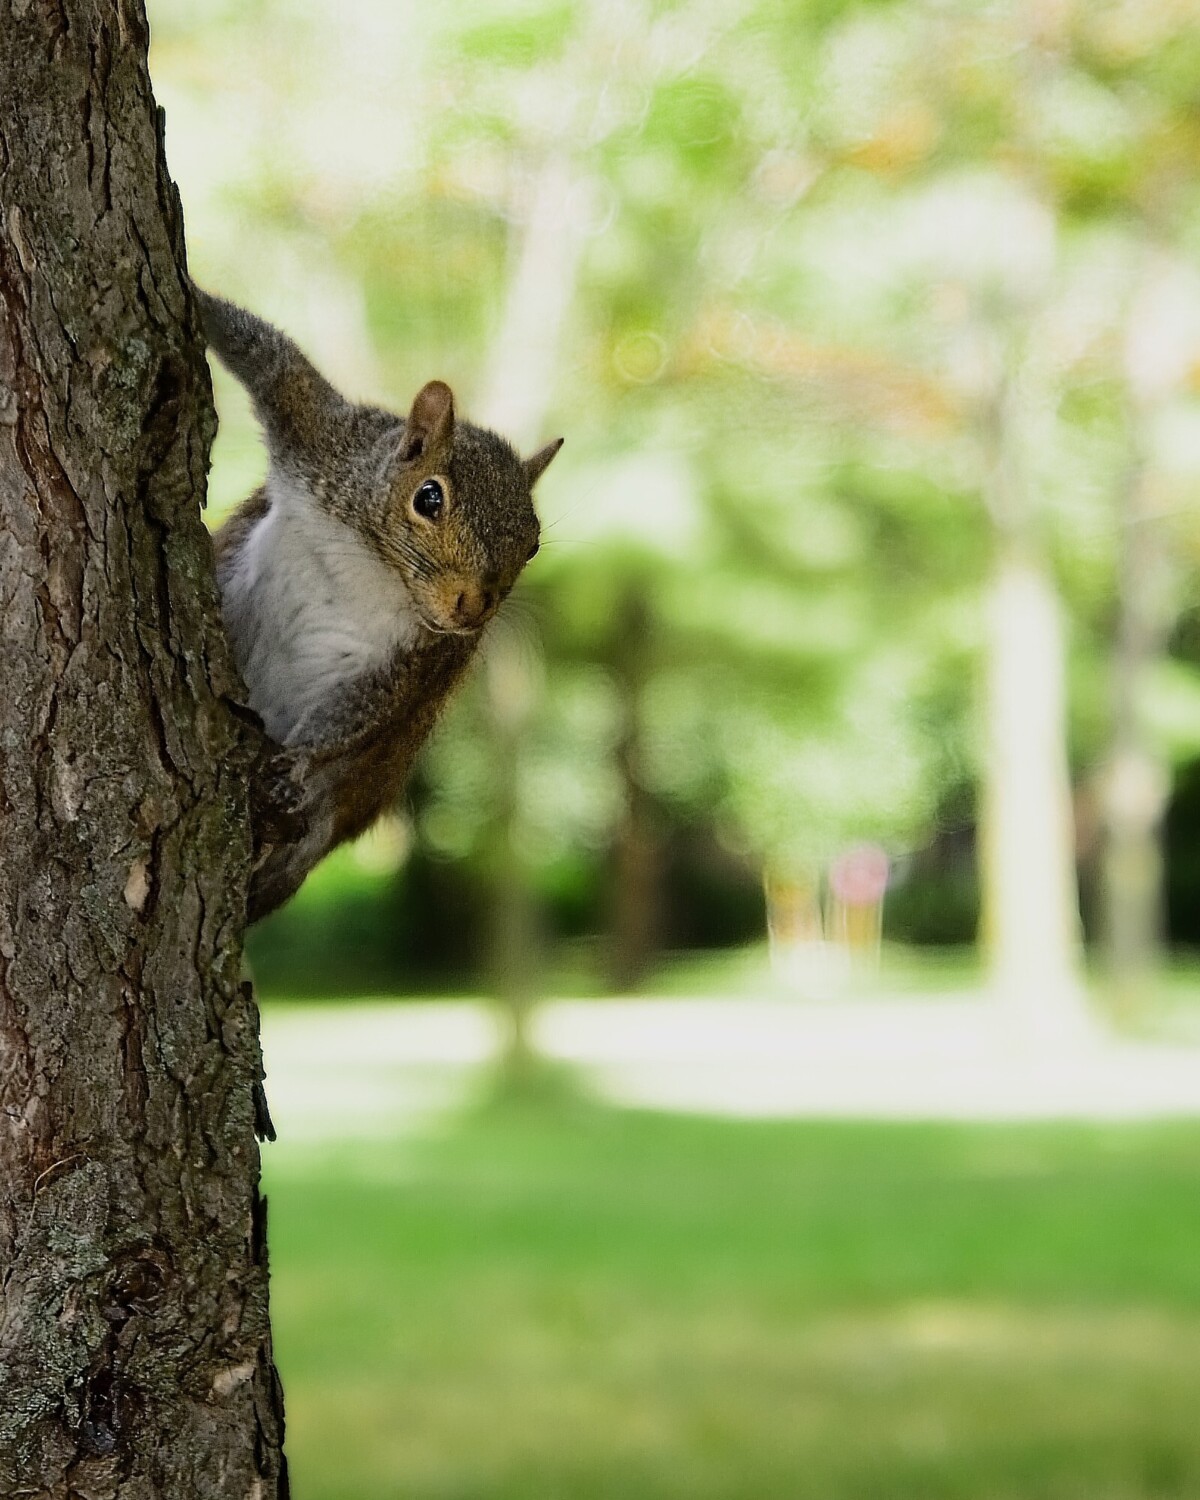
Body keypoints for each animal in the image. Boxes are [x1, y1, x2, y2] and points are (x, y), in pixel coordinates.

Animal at [196, 289, 562, 922]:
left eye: (533, 542)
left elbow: (360, 709)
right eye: (429, 497)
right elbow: (266, 353)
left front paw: (298, 759)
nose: (474, 609)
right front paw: (192, 296)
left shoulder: (415, 658)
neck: (376, 567)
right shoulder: (323, 438)